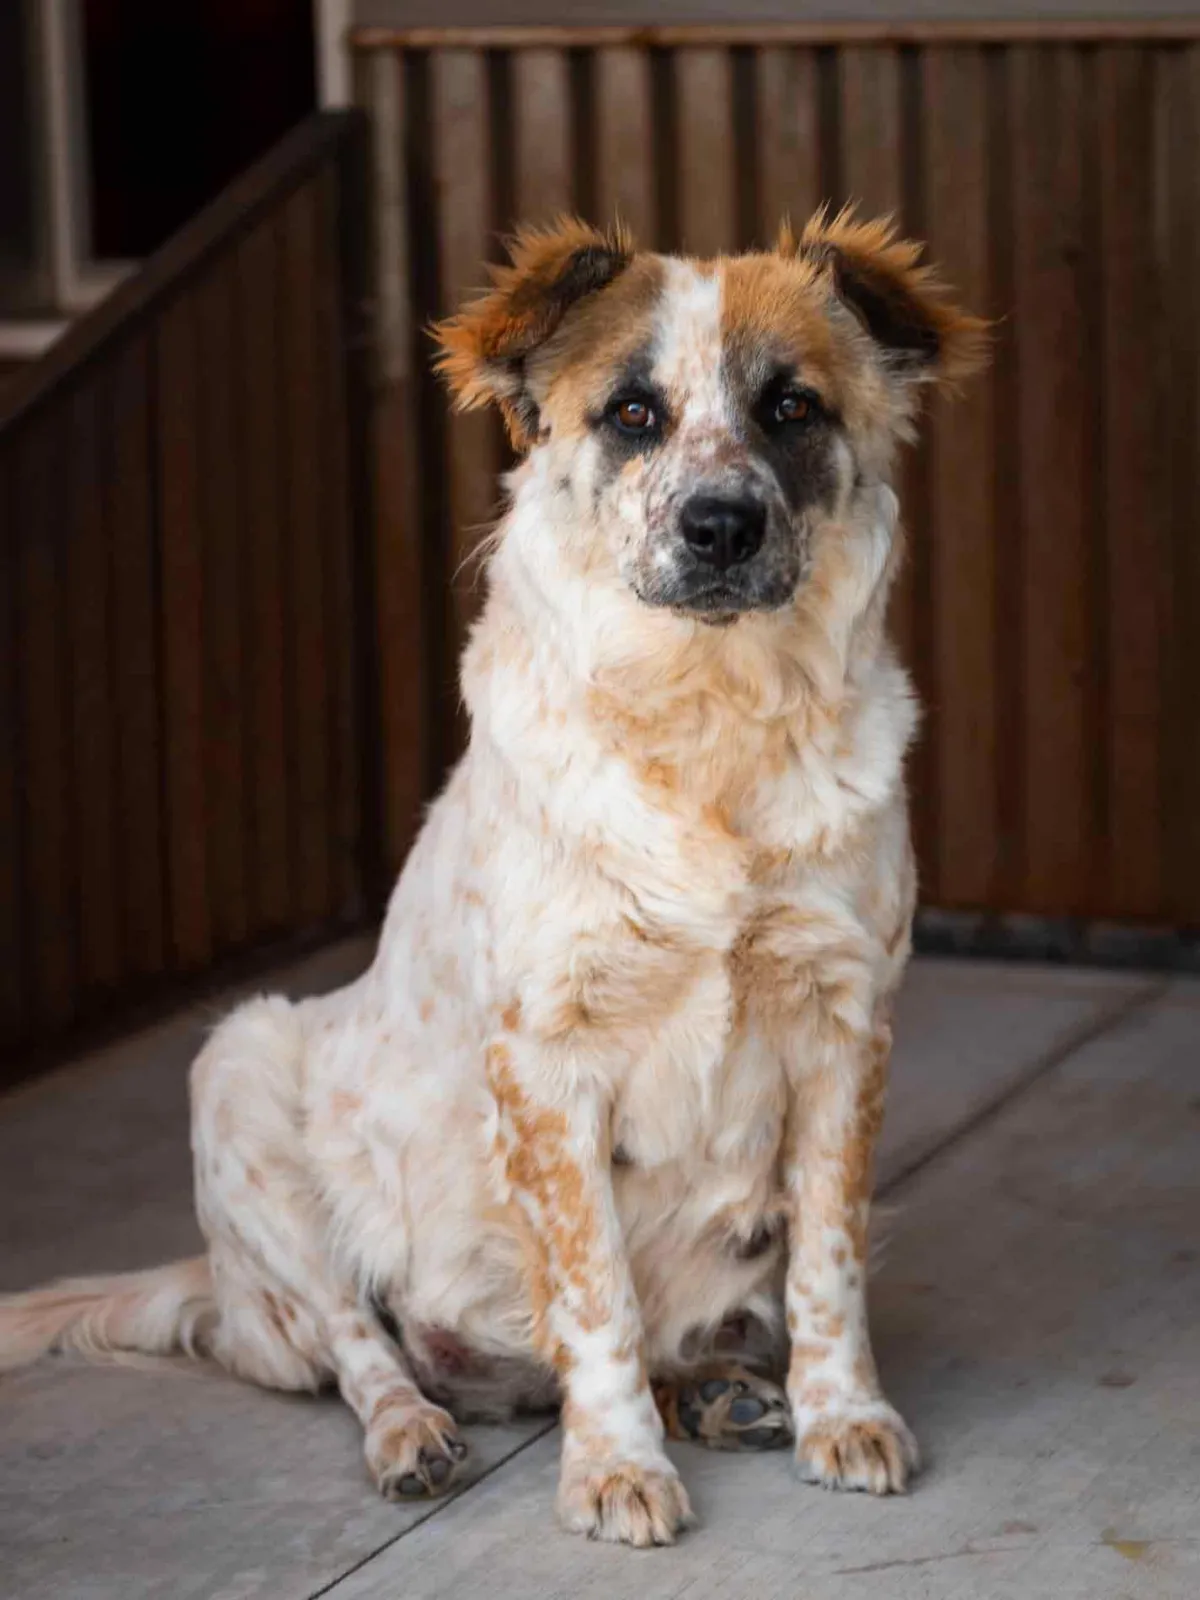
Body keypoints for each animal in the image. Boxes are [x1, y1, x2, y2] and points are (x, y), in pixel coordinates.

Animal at [0, 212, 985, 1548]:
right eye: (631, 413)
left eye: (792, 407)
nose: (721, 525)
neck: (706, 732)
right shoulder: (546, 1058)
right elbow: (595, 1292)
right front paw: (613, 1469)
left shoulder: (847, 1027)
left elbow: (826, 1261)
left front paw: (843, 1416)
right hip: (239, 1074)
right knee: (357, 1345)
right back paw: (416, 1434)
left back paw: (724, 1388)